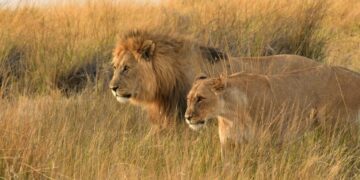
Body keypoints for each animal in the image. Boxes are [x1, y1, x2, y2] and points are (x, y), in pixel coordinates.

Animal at [186, 65, 360, 158]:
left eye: (200, 98)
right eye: (188, 99)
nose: (187, 117)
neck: (230, 114)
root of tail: (354, 74)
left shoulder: (266, 143)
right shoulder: (229, 145)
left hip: (337, 130)